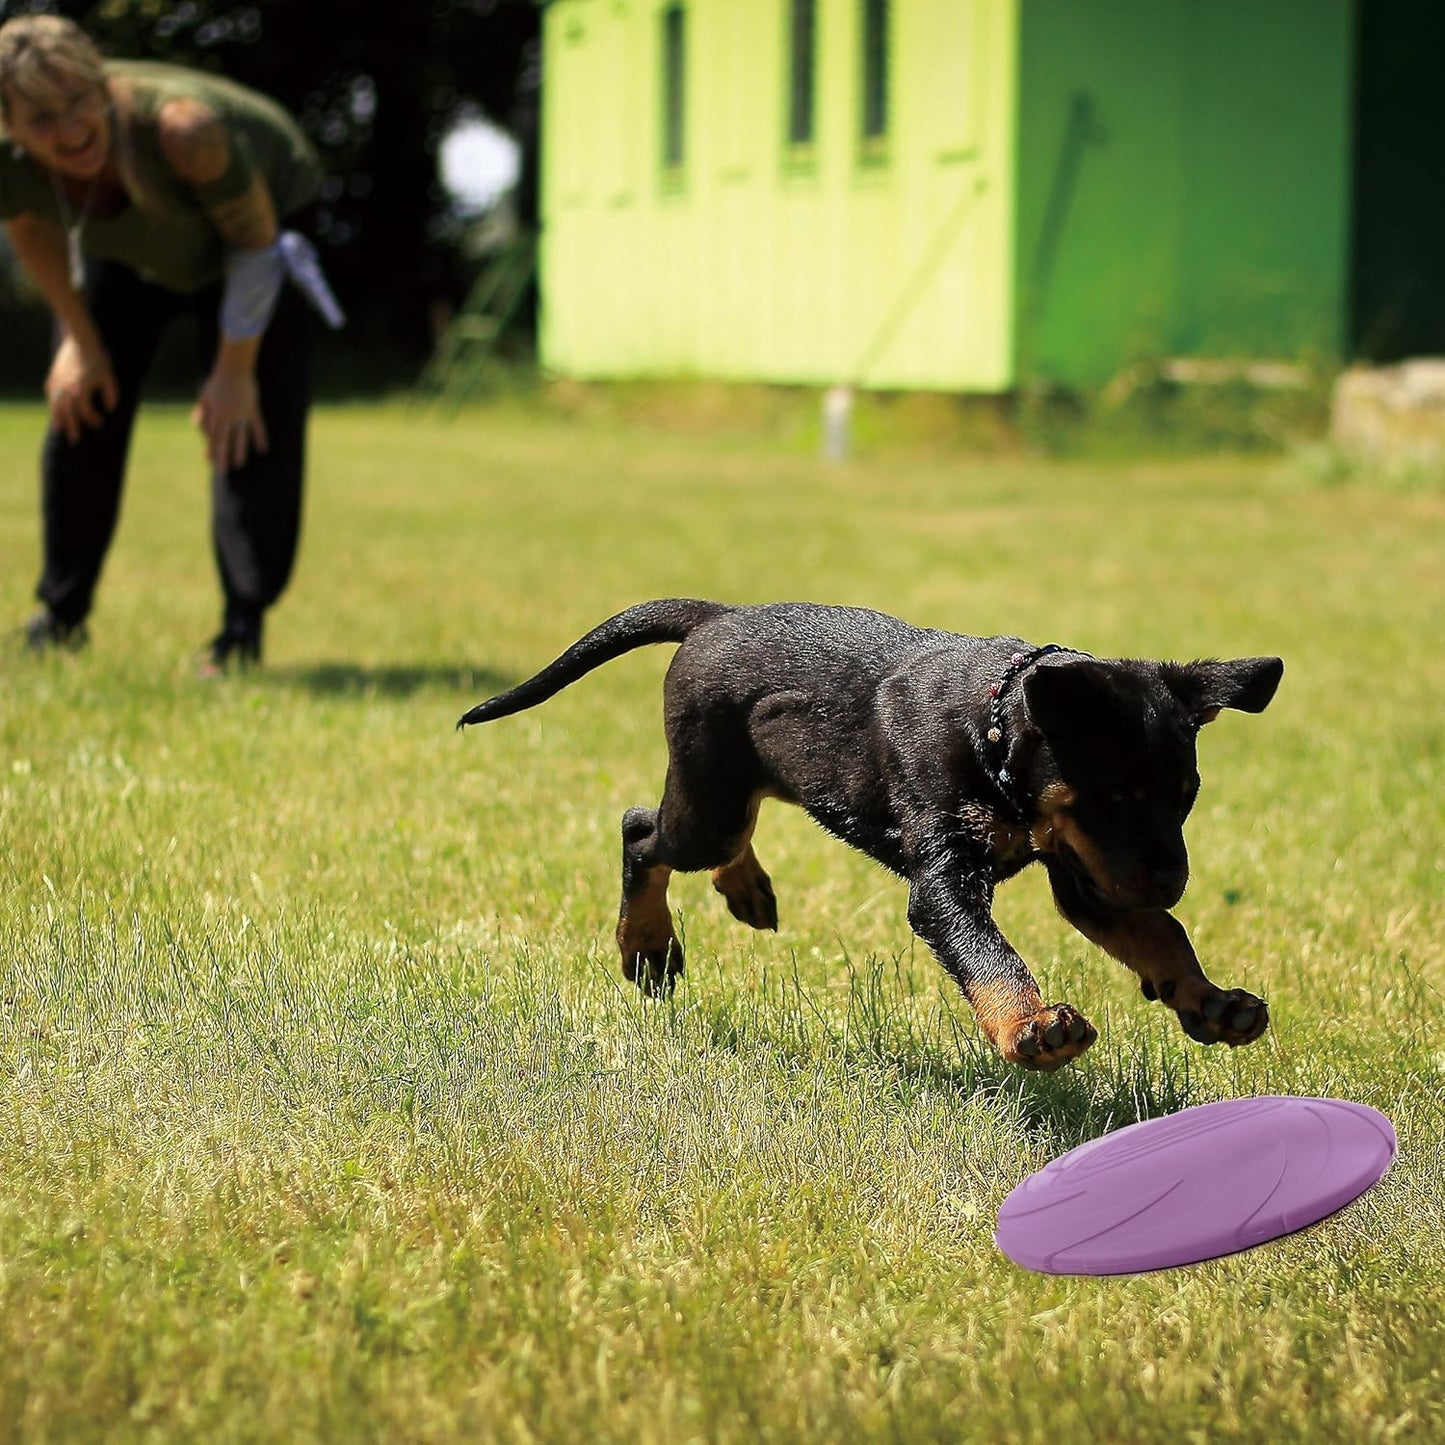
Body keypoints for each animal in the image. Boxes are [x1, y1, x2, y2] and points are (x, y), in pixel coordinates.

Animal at [456, 598, 1283, 1075]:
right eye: (1114, 795)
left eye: (1184, 798)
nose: (1172, 879)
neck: (990, 730)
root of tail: (715, 615)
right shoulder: (948, 879)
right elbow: (989, 954)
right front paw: (1029, 1027)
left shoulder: (1088, 874)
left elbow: (1161, 936)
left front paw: (1210, 1002)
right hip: (707, 800)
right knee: (641, 832)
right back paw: (647, 947)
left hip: (749, 781)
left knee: (718, 834)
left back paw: (744, 889)